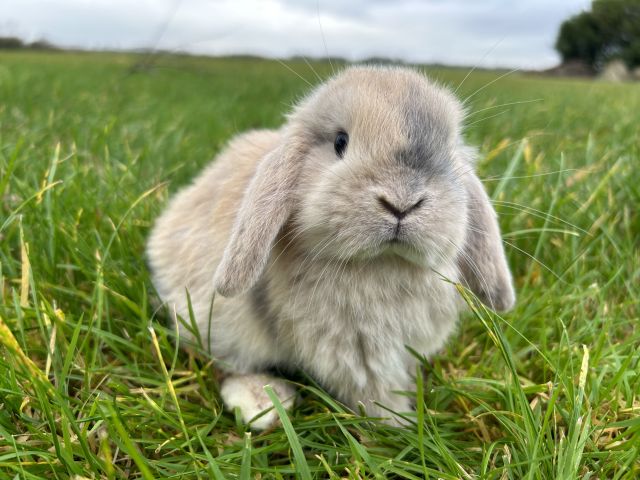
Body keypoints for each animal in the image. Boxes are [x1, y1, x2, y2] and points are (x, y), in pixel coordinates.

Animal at [146, 65, 516, 430]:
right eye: (340, 141)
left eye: (449, 152)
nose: (402, 202)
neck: (381, 264)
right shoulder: (354, 353)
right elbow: (374, 395)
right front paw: (402, 426)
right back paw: (262, 402)